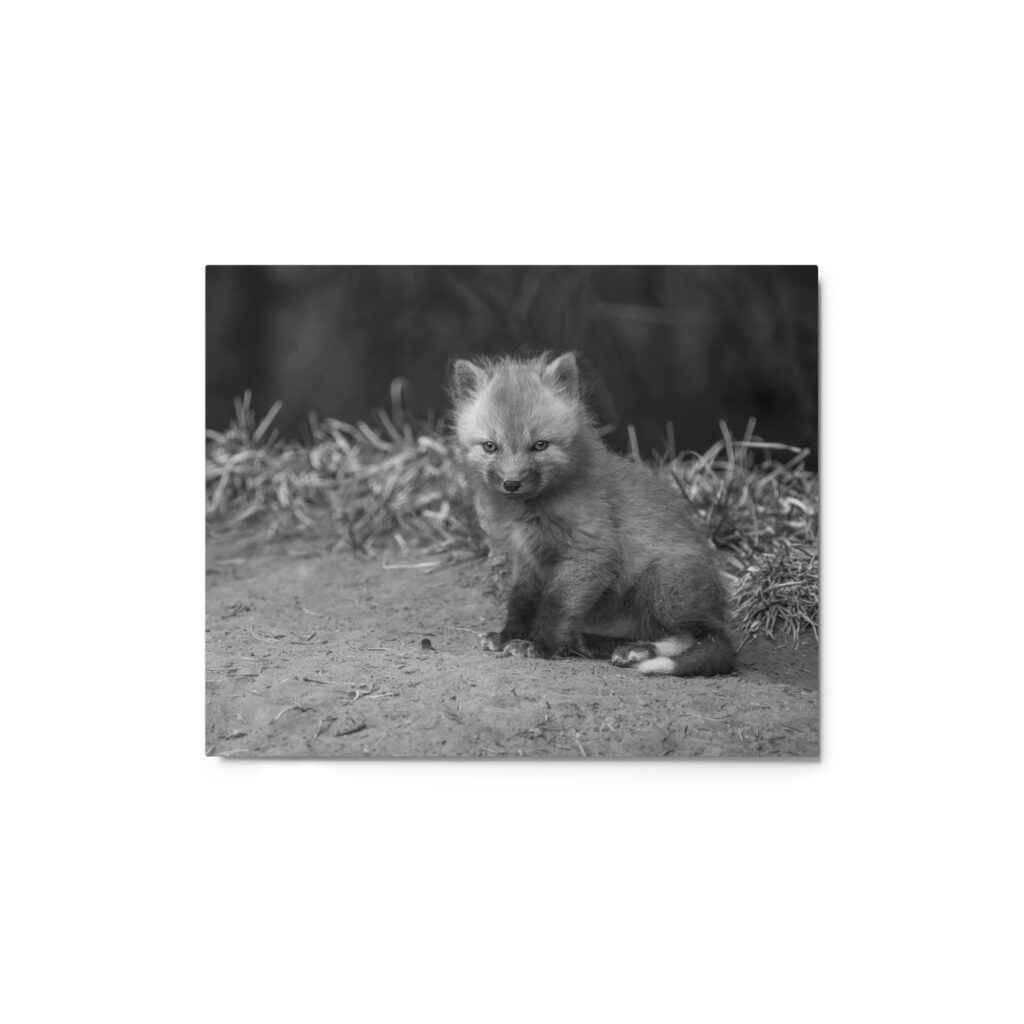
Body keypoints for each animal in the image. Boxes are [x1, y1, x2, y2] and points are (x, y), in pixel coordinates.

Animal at [449, 351, 735, 677]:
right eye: (490, 446)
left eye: (540, 445)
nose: (512, 483)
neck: (531, 512)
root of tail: (717, 609)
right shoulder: (527, 558)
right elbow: (521, 601)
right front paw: (508, 635)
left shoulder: (589, 552)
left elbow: (556, 605)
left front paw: (539, 645)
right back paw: (592, 642)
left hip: (661, 583)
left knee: (695, 636)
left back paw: (636, 651)